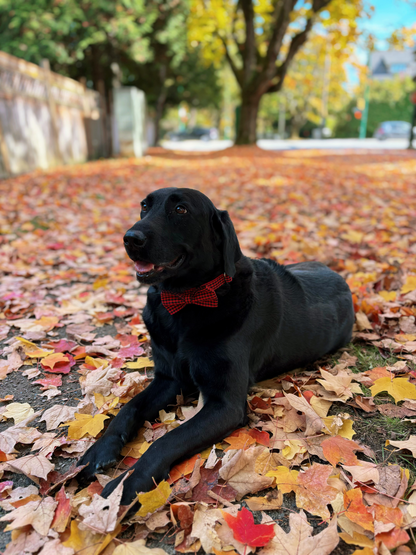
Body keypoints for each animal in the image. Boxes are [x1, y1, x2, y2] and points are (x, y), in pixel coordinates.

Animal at [78, 187, 354, 504]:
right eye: (144, 206)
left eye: (181, 209)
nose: (130, 238)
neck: (186, 301)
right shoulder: (169, 379)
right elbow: (128, 409)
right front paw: (98, 451)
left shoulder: (225, 405)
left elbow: (167, 441)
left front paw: (127, 485)